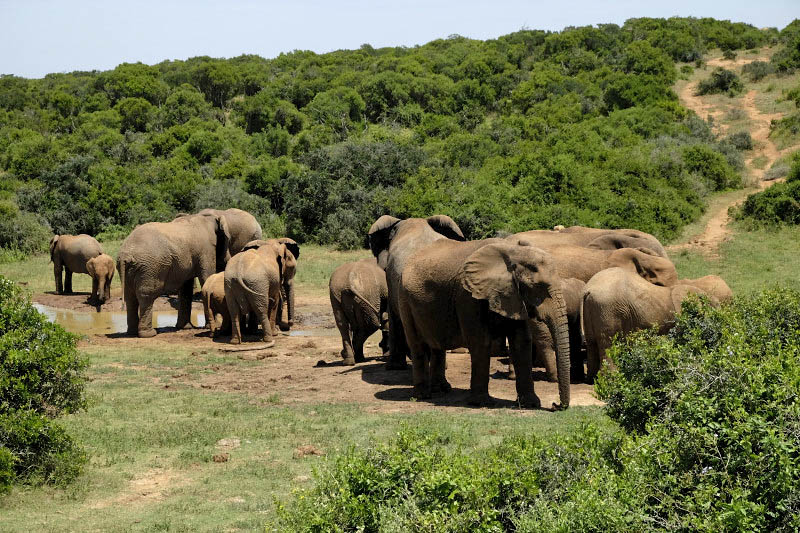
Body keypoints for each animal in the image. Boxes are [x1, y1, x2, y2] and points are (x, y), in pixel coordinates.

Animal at [398, 239, 568, 410]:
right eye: (539, 287)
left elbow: (522, 342)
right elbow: (481, 341)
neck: (513, 252)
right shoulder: (467, 295)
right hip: (405, 300)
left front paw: (530, 404)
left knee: (437, 345)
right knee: (417, 345)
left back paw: (442, 390)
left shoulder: (514, 297)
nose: (556, 405)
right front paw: (481, 403)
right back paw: (422, 395)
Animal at [580, 268, 724, 380]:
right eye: (714, 307)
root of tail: (588, 290)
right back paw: (613, 378)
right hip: (608, 309)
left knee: (592, 343)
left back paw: (592, 379)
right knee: (608, 343)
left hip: (593, 311)